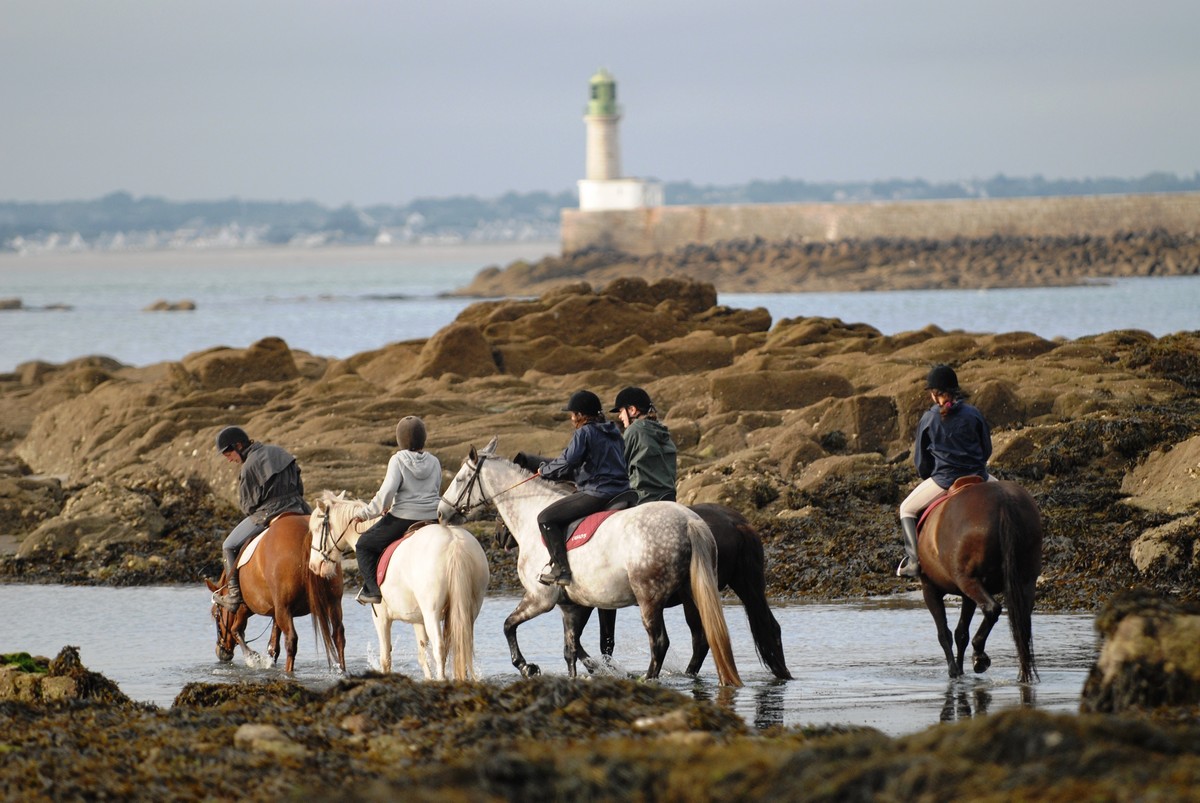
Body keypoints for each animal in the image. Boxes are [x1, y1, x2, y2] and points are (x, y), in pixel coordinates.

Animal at [205, 513, 348, 672]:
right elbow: (273, 647)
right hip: (332, 603)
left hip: (284, 608)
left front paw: (253, 657)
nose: (221, 652)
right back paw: (343, 671)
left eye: (216, 615)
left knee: (291, 640)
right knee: (338, 635)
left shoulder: (244, 608)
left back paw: (288, 672)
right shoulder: (276, 612)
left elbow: (236, 630)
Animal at [312, 484, 494, 681]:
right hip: (469, 610)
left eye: (317, 528)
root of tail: (454, 543)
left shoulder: (381, 617)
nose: (314, 566)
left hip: (432, 612)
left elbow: (386, 658)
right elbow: (423, 655)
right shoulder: (417, 619)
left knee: (440, 648)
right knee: (461, 646)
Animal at [441, 434, 739, 686]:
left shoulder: (540, 599)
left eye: (460, 479)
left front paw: (526, 667)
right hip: (692, 594)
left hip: (650, 599)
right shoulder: (573, 606)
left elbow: (508, 626)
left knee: (659, 643)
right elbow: (570, 650)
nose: (442, 513)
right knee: (702, 638)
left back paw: (647, 680)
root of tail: (688, 521)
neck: (531, 514)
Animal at [916, 475, 1041, 681]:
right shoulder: (967, 595)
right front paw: (959, 671)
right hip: (1024, 582)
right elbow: (961, 633)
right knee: (1021, 622)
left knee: (992, 609)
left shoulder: (929, 588)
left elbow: (944, 633)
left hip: (970, 581)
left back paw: (980, 656)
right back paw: (1022, 675)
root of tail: (1003, 499)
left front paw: (954, 672)